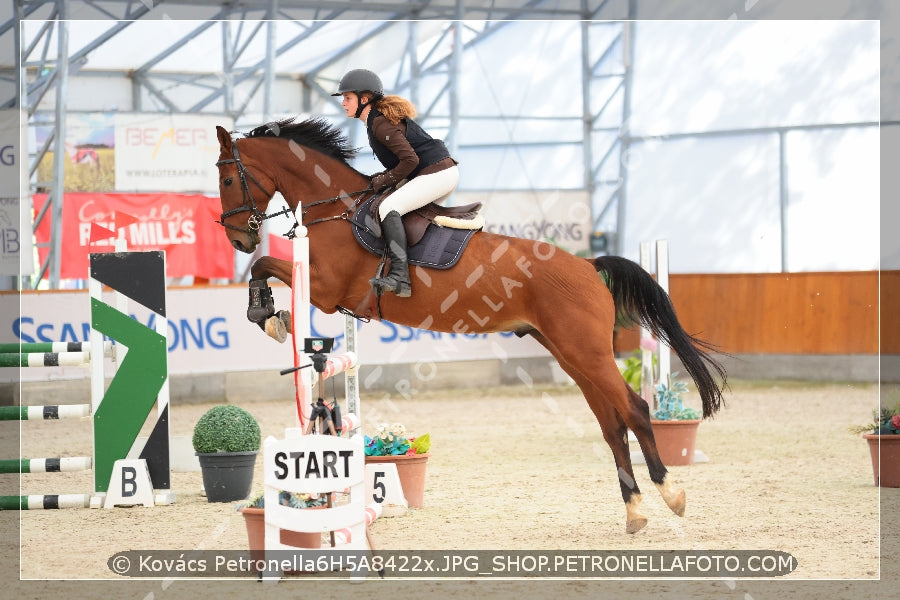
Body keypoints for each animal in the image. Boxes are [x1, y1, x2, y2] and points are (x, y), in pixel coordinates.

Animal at [214, 117, 728, 536]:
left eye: (226, 178)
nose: (236, 239)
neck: (334, 210)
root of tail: (587, 264)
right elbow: (265, 266)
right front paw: (270, 314)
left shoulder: (325, 289)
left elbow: (265, 265)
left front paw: (267, 314)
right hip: (573, 356)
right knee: (612, 425)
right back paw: (635, 511)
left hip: (588, 353)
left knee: (636, 411)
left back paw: (671, 495)